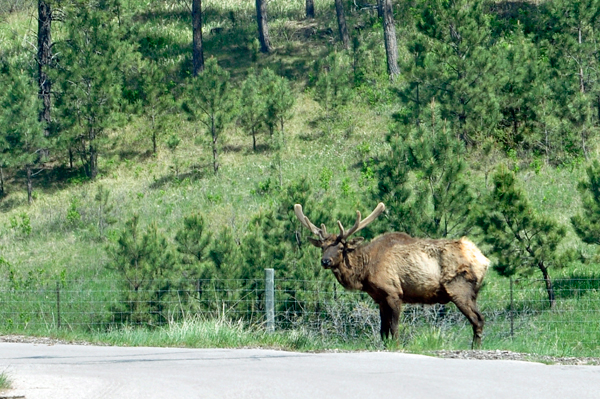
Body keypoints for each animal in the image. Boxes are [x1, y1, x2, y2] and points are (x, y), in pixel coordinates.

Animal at [294, 203, 488, 346]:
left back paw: (475, 348)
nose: (325, 261)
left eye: (341, 247)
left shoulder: (394, 292)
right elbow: (383, 330)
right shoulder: (380, 298)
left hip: (460, 288)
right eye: (323, 247)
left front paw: (396, 346)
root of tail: (484, 260)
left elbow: (394, 328)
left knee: (478, 319)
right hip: (471, 293)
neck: (365, 271)